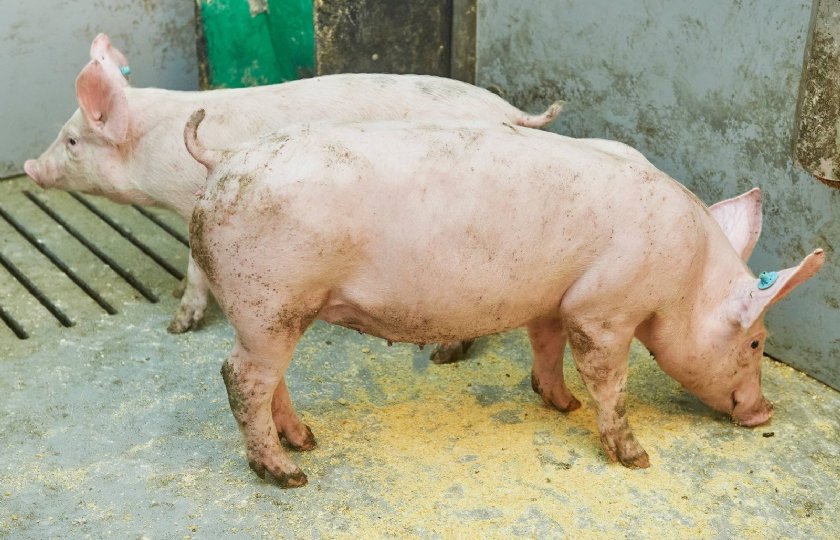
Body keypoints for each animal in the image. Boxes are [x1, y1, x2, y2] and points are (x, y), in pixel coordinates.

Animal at [23, 35, 564, 352]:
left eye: (72, 142)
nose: (30, 167)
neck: (152, 142)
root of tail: (512, 113)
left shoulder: (193, 195)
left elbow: (196, 263)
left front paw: (178, 326)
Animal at [184, 110, 820, 490]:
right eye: (756, 342)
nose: (765, 413)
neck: (684, 279)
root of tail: (222, 161)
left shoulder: (555, 302)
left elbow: (546, 348)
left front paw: (561, 404)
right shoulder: (602, 311)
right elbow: (609, 382)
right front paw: (636, 458)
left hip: (273, 313)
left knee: (269, 379)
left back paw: (307, 440)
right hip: (271, 301)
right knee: (238, 376)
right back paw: (289, 474)